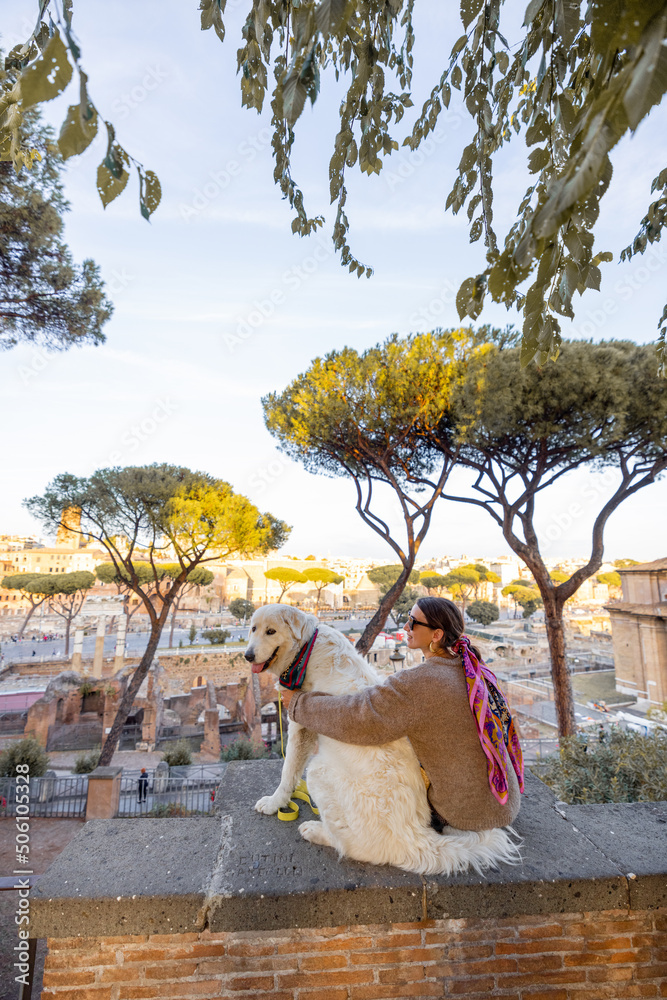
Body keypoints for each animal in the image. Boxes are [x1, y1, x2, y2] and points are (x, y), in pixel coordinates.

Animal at [245, 600, 520, 876]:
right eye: (253, 628)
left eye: (271, 631)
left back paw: (316, 831)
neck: (305, 651)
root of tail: (417, 839)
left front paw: (274, 803)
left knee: (357, 846)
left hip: (318, 771)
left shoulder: (300, 724)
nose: (247, 655)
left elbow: (288, 771)